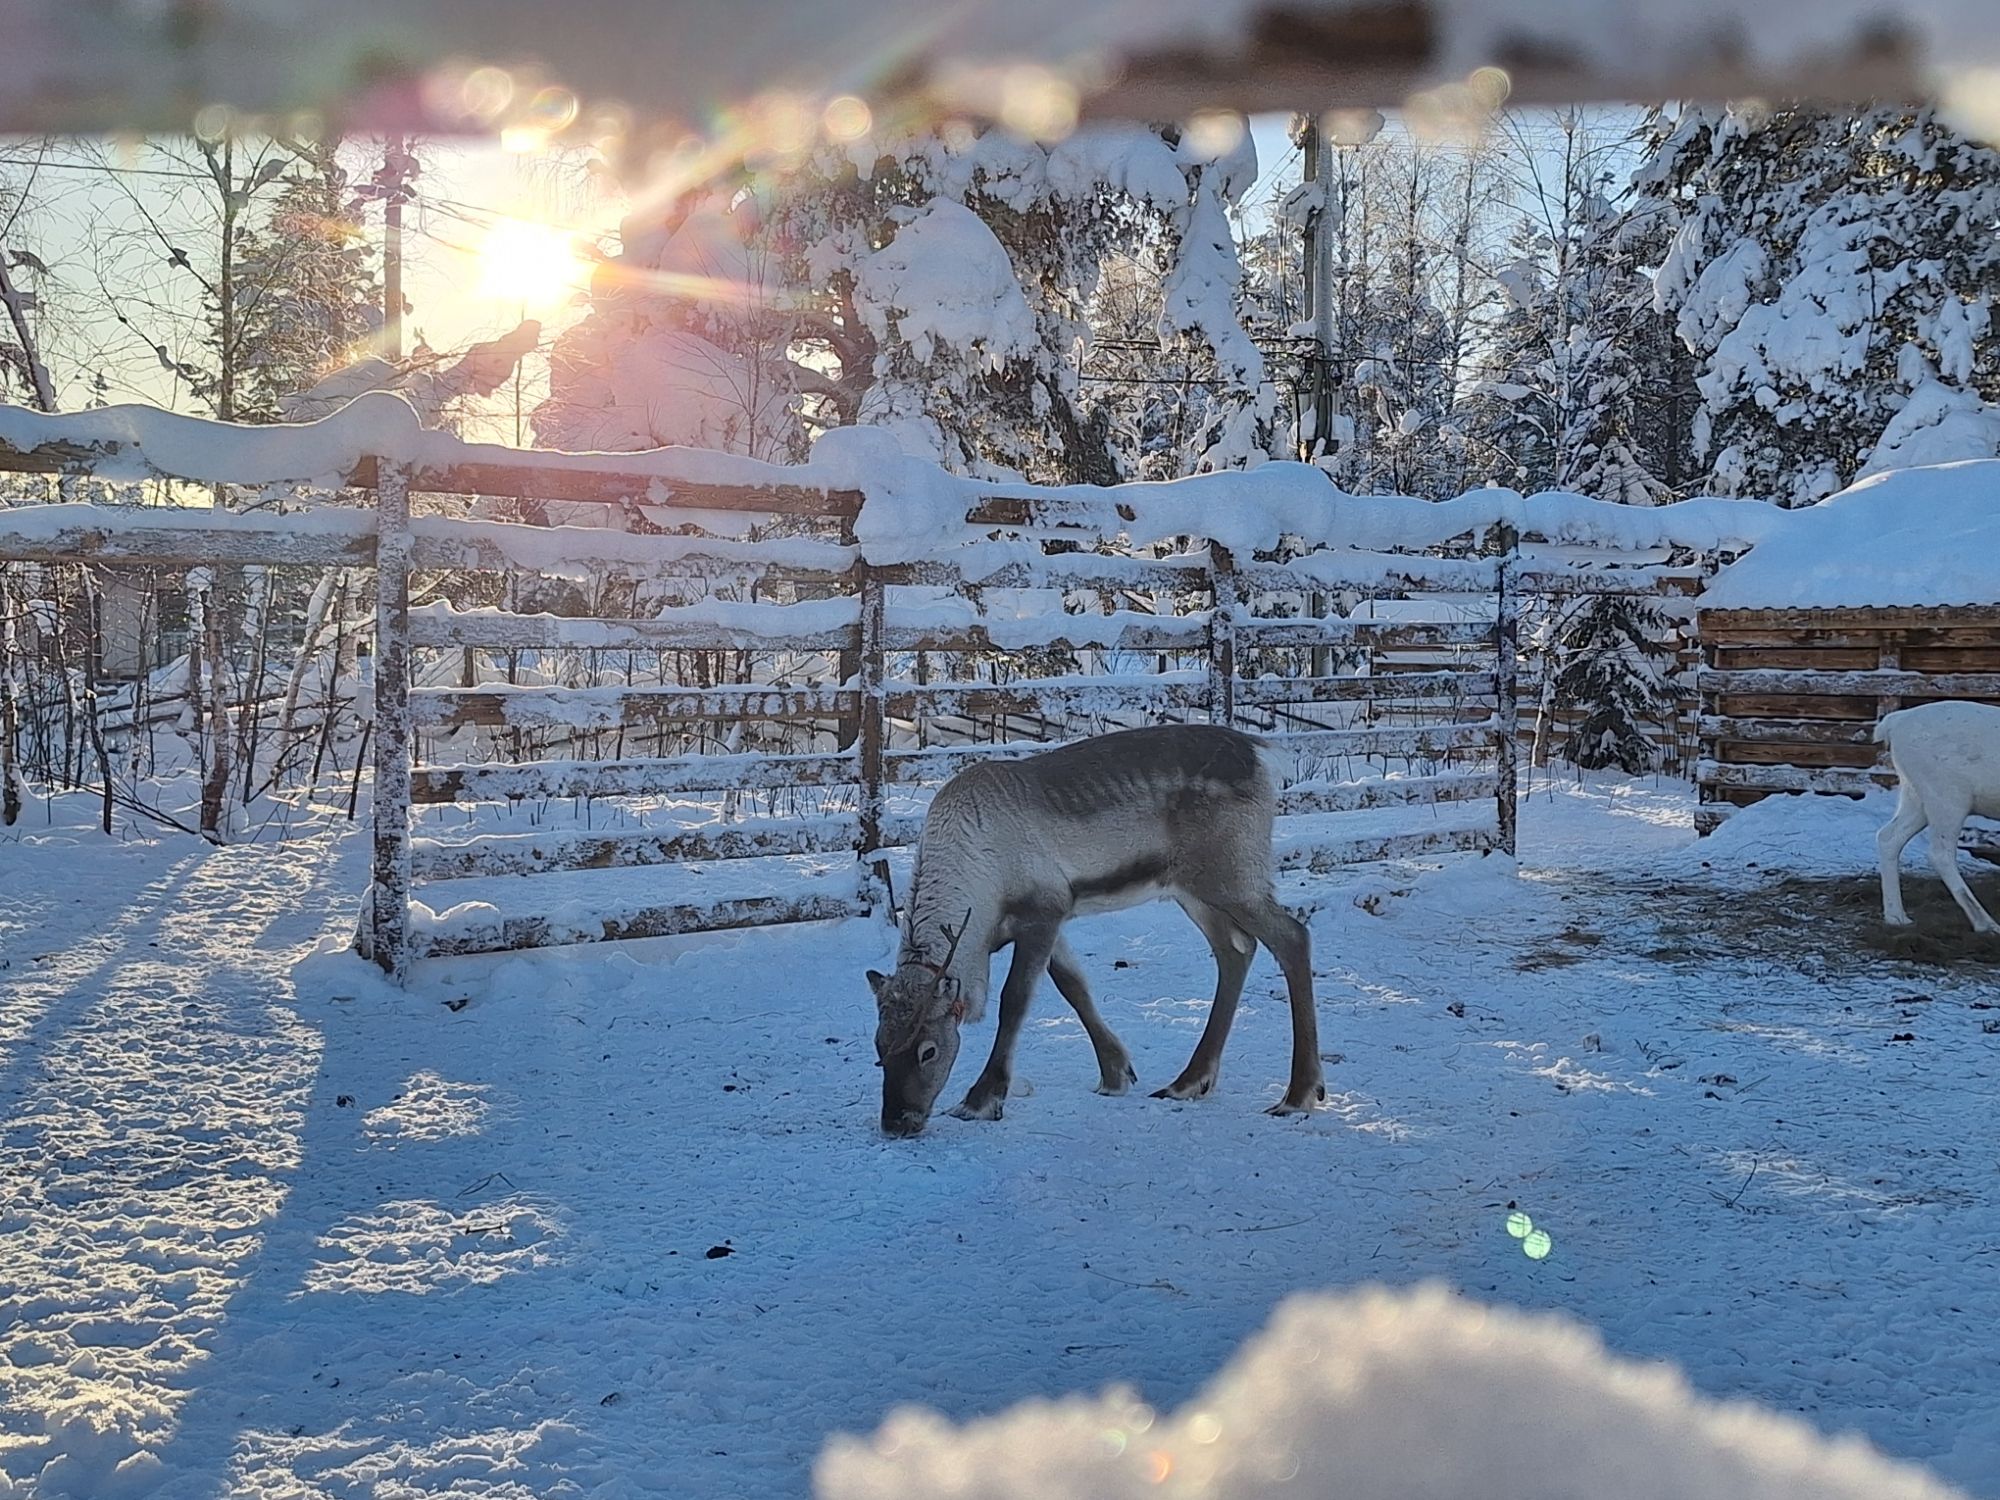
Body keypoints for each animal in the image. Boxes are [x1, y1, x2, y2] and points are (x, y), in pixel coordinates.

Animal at [866, 723, 1325, 1137]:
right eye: (879, 1046)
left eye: (928, 1050)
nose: (896, 1122)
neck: (982, 895)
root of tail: (1263, 753)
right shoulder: (1051, 918)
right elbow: (1075, 986)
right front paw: (1116, 1072)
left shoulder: (1044, 908)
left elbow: (1014, 1001)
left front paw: (982, 1099)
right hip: (1192, 888)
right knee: (1236, 949)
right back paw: (1187, 1082)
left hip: (1233, 875)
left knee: (1292, 936)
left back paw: (1298, 1093)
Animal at [1875, 701, 2000, 934]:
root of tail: (1893, 724)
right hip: (1948, 795)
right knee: (1940, 853)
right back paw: (1985, 923)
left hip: (1914, 793)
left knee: (1888, 837)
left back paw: (1897, 917)